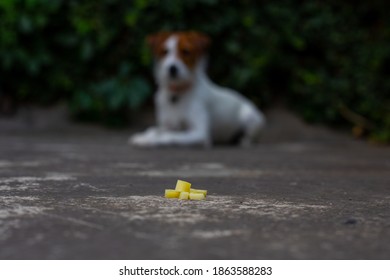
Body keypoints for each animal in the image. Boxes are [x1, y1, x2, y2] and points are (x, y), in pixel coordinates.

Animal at [129, 30, 266, 148]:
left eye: (186, 51)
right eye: (165, 51)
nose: (172, 68)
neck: (177, 93)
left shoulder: (200, 133)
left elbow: (171, 136)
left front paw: (150, 140)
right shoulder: (167, 125)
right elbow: (154, 130)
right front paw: (145, 136)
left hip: (250, 117)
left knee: (248, 137)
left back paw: (242, 141)